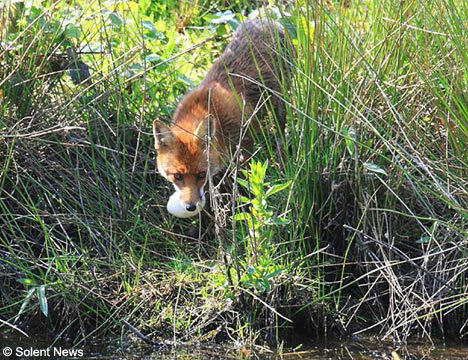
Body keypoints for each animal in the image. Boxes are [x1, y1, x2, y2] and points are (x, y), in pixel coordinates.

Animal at [154, 19, 290, 217]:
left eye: (201, 174)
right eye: (177, 176)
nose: (190, 207)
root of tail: (265, 19)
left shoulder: (245, 141)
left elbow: (246, 176)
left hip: (280, 104)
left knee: (281, 136)